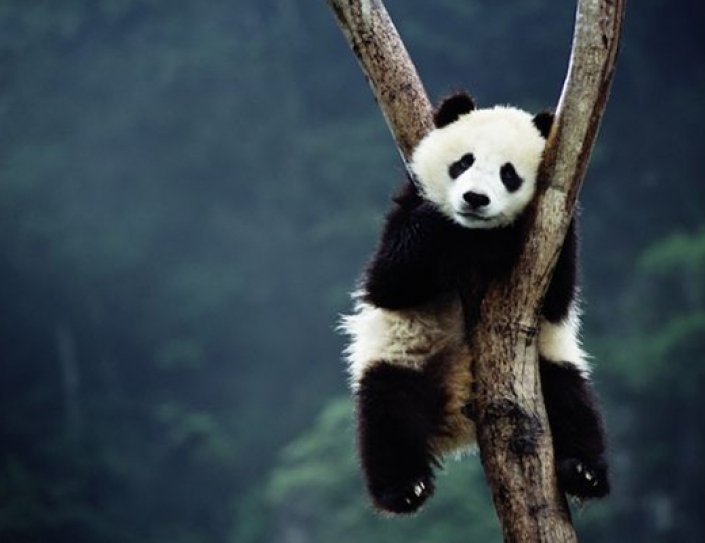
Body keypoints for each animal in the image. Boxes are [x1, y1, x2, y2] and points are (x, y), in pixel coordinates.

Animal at [341, 91, 609, 515]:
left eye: (509, 174)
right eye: (463, 162)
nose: (474, 199)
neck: (474, 235)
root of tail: (457, 419)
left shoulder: (552, 232)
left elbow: (557, 299)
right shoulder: (407, 205)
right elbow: (388, 280)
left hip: (547, 366)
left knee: (572, 402)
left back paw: (584, 472)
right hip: (403, 357)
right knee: (387, 415)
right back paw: (405, 488)